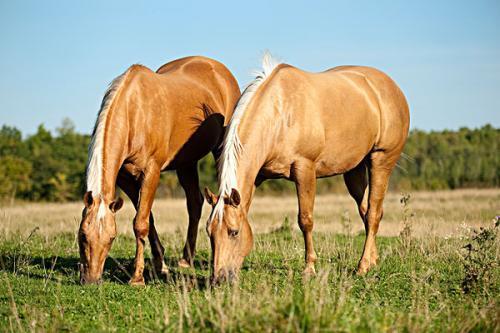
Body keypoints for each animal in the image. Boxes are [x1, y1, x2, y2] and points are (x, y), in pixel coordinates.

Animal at [78, 55, 240, 284]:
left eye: (111, 238)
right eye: (82, 235)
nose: (91, 279)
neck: (134, 112)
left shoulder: (151, 172)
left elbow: (140, 223)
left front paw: (137, 278)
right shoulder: (126, 178)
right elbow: (147, 218)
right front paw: (159, 264)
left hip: (220, 151)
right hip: (186, 163)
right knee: (194, 203)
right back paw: (186, 259)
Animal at [205, 52, 408, 282]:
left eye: (234, 232)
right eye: (210, 232)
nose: (219, 278)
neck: (280, 113)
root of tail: (392, 88)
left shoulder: (305, 171)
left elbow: (305, 220)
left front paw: (309, 268)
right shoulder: (257, 177)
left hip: (381, 162)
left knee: (373, 213)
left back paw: (363, 266)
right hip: (354, 171)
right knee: (366, 211)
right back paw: (373, 260)